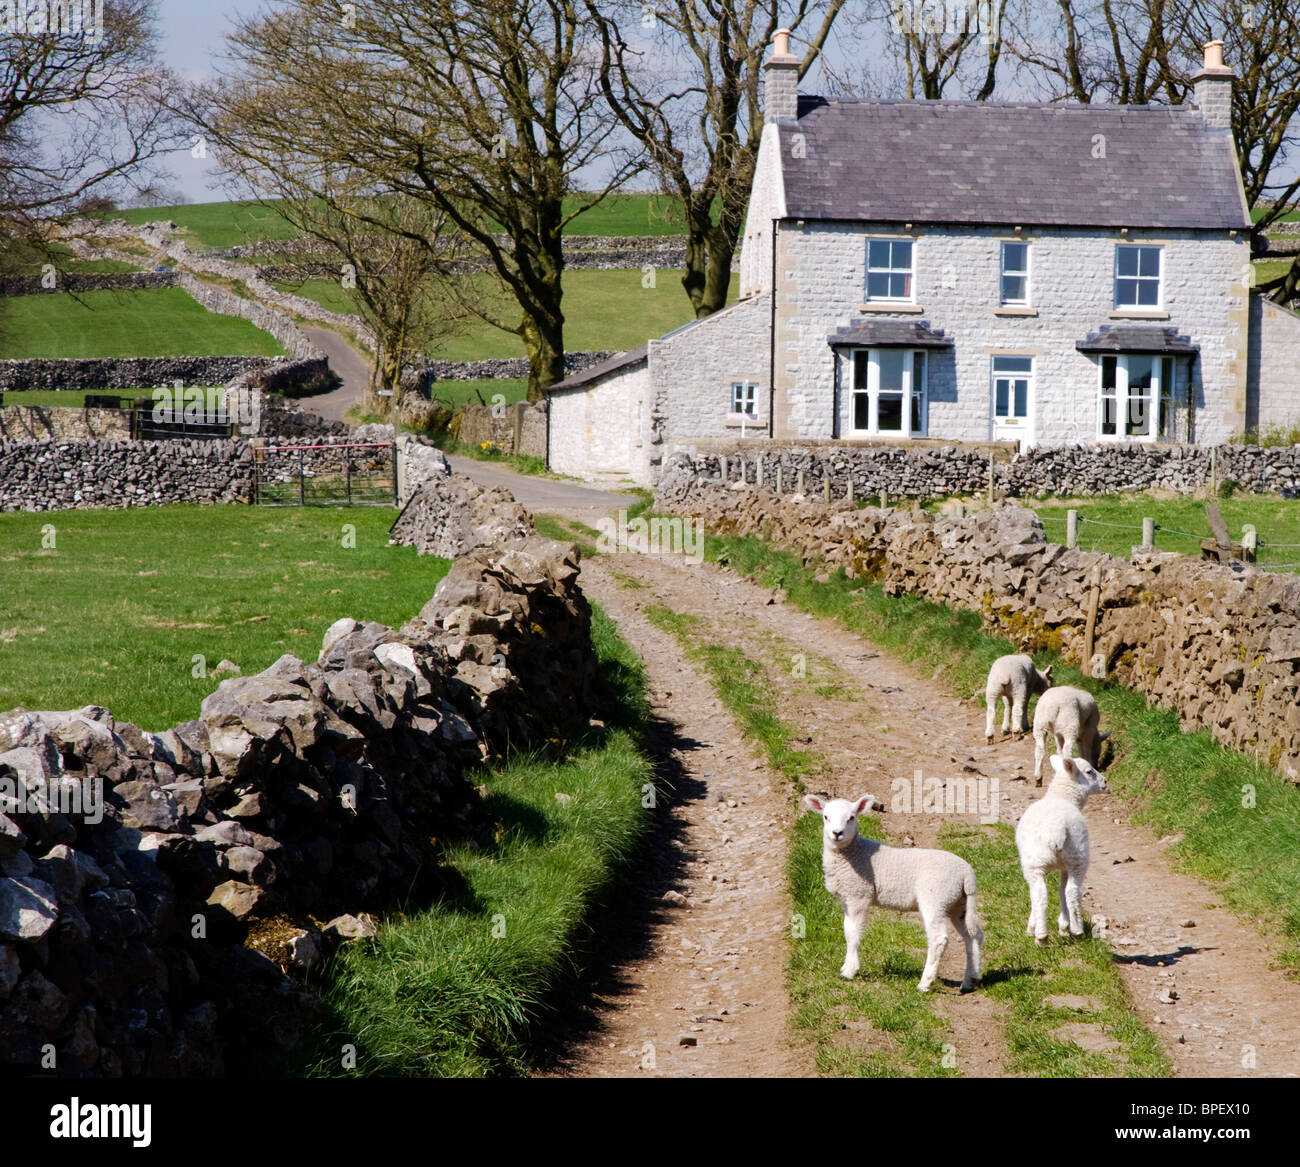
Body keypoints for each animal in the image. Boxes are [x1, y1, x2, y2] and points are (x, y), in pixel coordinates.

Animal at [800, 790, 982, 992]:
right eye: (826, 817)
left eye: (851, 817)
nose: (837, 833)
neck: (854, 853)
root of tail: (967, 874)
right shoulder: (848, 898)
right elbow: (846, 930)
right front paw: (846, 966)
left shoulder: (859, 895)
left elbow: (854, 933)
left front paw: (849, 971)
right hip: (958, 903)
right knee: (973, 935)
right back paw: (970, 980)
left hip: (935, 898)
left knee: (939, 939)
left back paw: (925, 983)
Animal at [1013, 748, 1107, 940]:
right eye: (1089, 771)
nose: (1105, 782)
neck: (1063, 796)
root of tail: (1056, 828)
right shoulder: (1066, 866)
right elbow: (1062, 889)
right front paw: (1064, 925)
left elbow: (1055, 891)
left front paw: (1053, 925)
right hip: (1077, 857)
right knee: (1071, 891)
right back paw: (1076, 930)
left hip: (1036, 862)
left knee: (1040, 893)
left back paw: (1041, 935)